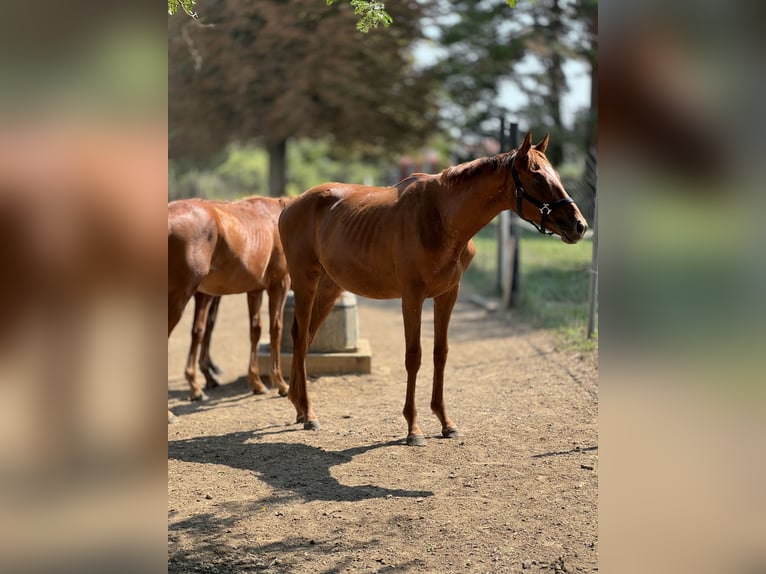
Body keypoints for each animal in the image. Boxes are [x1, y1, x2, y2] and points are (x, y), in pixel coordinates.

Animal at [168, 197, 292, 410]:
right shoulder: (279, 285)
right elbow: (276, 329)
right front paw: (280, 383)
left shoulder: (255, 290)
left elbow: (255, 330)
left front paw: (257, 383)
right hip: (179, 297)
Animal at [280, 133, 588, 448]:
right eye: (537, 177)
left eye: (556, 175)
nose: (580, 225)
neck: (440, 217)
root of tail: (291, 204)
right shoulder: (412, 297)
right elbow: (413, 356)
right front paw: (413, 428)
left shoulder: (447, 295)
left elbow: (441, 353)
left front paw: (445, 422)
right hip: (306, 282)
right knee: (299, 337)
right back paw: (309, 413)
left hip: (329, 288)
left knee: (306, 337)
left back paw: (299, 407)